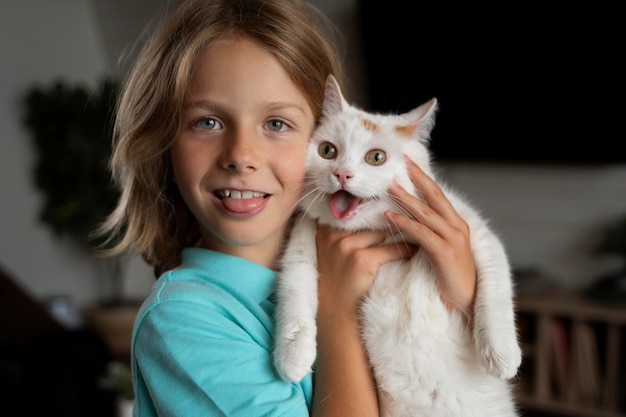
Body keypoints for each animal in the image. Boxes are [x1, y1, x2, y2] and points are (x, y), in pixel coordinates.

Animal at [272, 75, 520, 416]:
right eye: (327, 151)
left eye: (376, 157)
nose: (341, 173)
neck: (377, 230)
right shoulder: (302, 237)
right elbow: (294, 287)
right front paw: (292, 354)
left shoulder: (471, 228)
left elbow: (496, 282)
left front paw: (502, 352)